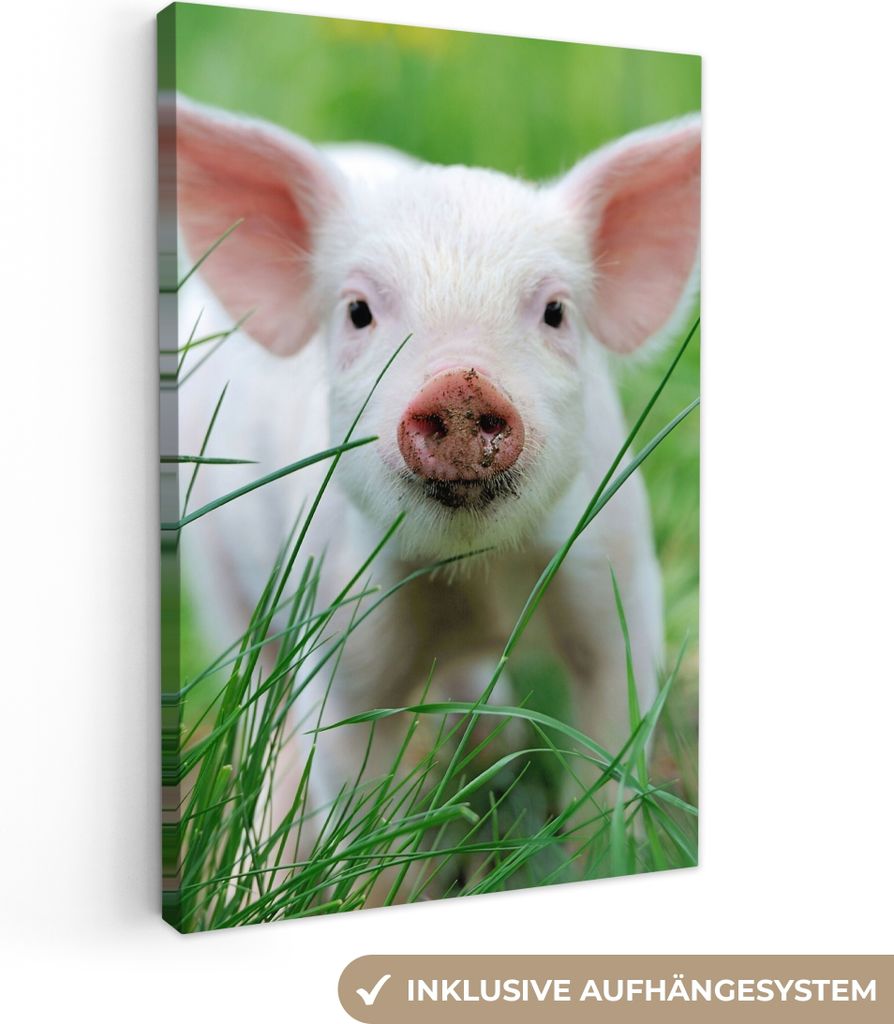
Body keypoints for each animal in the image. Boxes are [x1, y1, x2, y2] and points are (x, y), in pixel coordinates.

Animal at [172, 95, 700, 884]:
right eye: (358, 311)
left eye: (555, 312)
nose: (460, 384)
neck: (472, 573)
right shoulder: (339, 618)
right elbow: (355, 778)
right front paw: (381, 885)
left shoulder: (619, 583)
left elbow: (608, 744)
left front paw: (596, 861)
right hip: (217, 575)